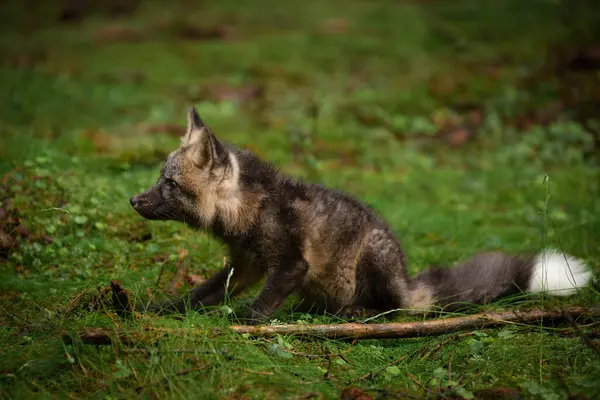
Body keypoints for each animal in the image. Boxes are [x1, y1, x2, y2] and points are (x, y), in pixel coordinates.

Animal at [129, 107, 592, 324]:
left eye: (169, 184)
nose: (134, 200)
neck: (250, 212)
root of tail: (407, 281)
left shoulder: (290, 264)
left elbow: (260, 306)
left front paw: (243, 324)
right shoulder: (244, 264)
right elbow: (203, 294)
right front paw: (165, 309)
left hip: (372, 257)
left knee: (392, 310)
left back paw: (360, 314)